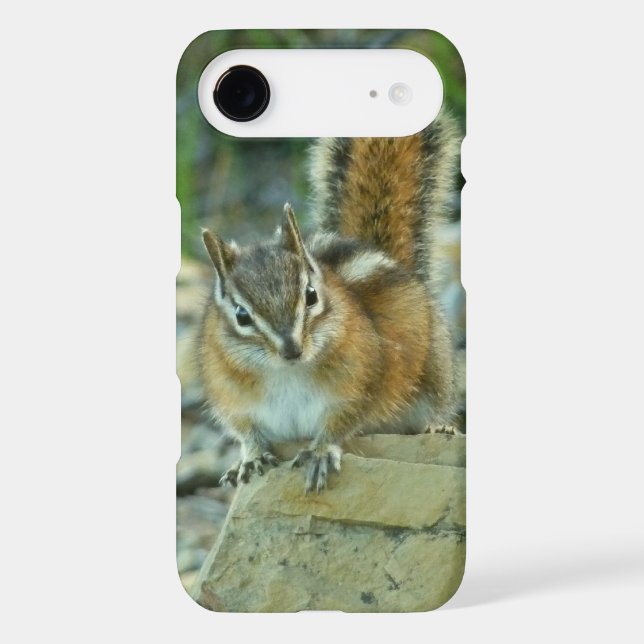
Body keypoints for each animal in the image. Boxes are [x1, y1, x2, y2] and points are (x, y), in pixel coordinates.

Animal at [199, 112, 463, 493]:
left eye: (310, 296)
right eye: (241, 315)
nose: (292, 350)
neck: (286, 374)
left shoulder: (360, 384)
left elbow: (342, 421)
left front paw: (321, 451)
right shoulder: (232, 398)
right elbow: (245, 430)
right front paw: (250, 457)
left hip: (436, 370)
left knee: (438, 405)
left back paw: (438, 426)